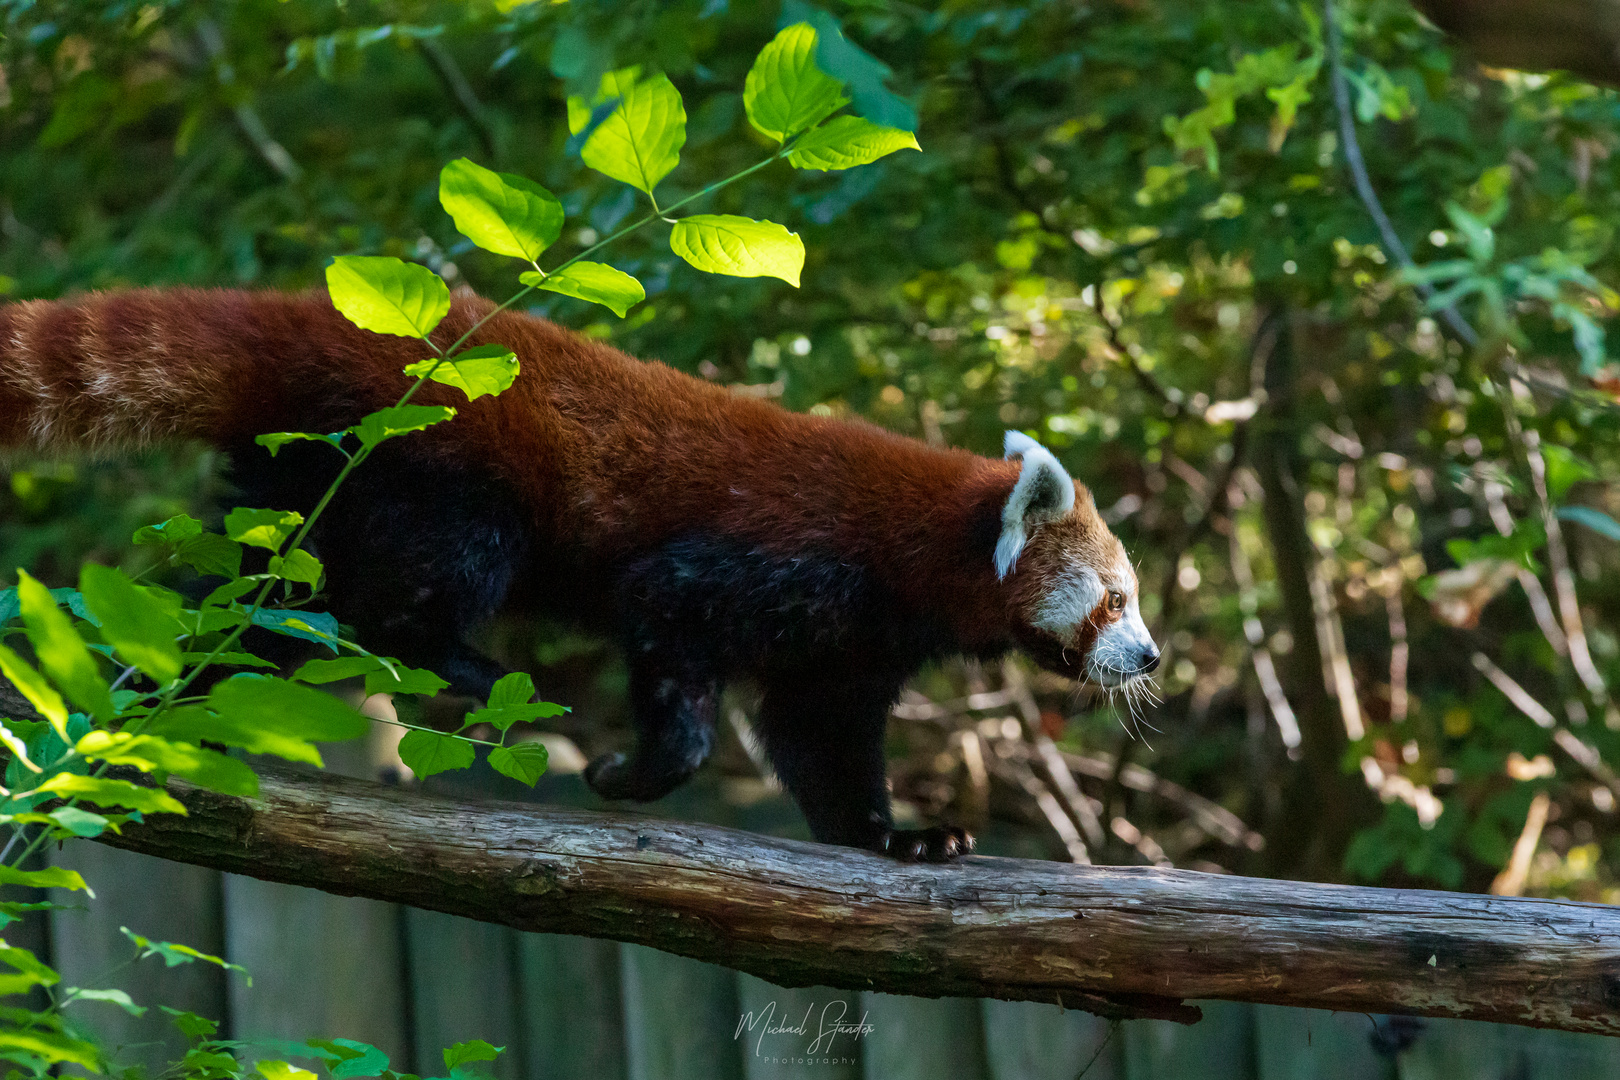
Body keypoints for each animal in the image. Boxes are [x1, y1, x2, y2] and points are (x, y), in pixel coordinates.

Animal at [3, 286, 1166, 861]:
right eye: (1113, 599)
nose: (1152, 655)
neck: (916, 548)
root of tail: (312, 319)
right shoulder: (766, 562)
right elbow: (669, 640)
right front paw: (629, 772)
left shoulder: (847, 649)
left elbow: (819, 739)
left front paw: (898, 837)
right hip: (433, 466)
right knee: (405, 590)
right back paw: (463, 668)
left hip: (302, 486)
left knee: (269, 604)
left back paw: (161, 695)